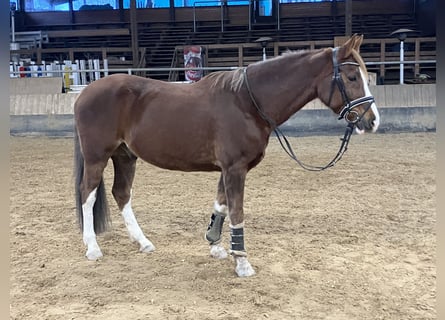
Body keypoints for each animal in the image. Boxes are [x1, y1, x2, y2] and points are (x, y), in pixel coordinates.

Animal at [73, 34, 378, 276]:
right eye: (352, 77)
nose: (372, 121)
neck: (246, 101)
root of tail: (85, 93)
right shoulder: (235, 168)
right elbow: (237, 212)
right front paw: (242, 262)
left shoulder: (227, 169)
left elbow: (220, 206)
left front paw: (216, 244)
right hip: (97, 157)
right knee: (87, 194)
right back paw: (92, 247)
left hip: (125, 156)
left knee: (121, 193)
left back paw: (143, 242)